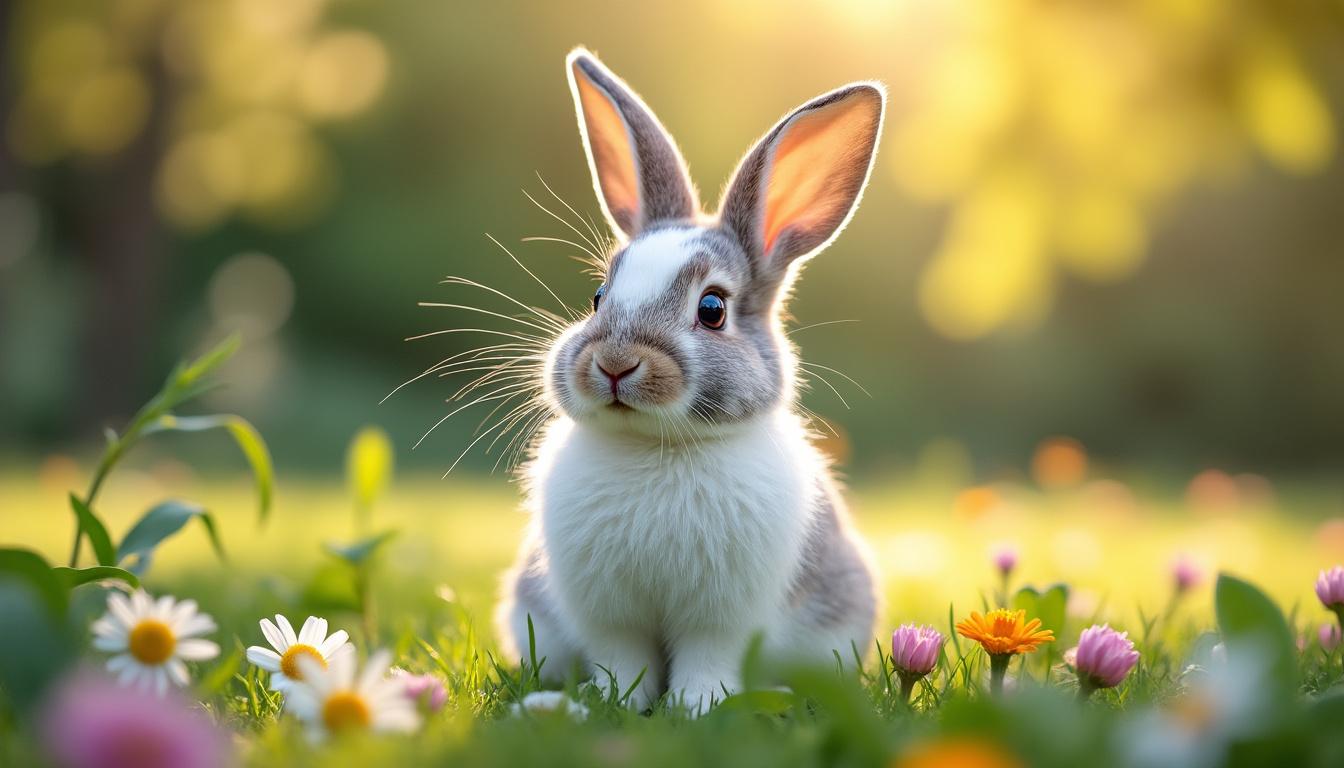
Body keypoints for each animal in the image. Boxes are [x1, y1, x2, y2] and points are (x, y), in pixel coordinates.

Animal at [494, 47, 884, 714]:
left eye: (712, 309)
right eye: (598, 297)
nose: (615, 363)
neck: (656, 446)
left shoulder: (722, 619)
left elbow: (707, 660)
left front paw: (695, 709)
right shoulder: (609, 615)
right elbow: (623, 659)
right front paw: (615, 704)